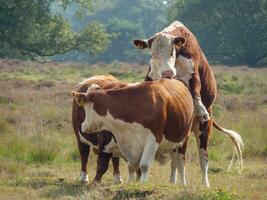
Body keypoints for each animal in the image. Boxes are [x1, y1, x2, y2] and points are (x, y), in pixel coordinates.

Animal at [134, 21, 245, 187]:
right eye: (152, 54)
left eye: (172, 51)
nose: (167, 73)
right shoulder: (153, 76)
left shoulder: (193, 73)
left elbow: (195, 87)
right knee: (175, 159)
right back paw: (173, 181)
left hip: (203, 129)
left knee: (202, 158)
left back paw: (204, 184)